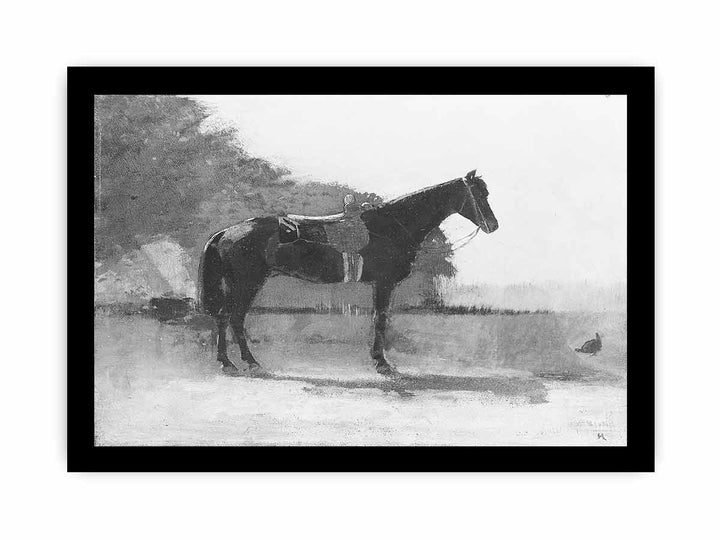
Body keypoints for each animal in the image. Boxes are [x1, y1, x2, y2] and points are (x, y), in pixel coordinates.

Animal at [198, 169, 500, 376]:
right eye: (479, 194)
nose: (493, 225)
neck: (392, 225)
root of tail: (226, 232)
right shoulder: (384, 283)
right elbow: (380, 320)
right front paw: (382, 363)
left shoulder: (380, 283)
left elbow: (378, 319)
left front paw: (379, 360)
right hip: (246, 282)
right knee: (232, 317)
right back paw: (241, 363)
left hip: (241, 283)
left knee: (228, 318)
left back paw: (235, 362)